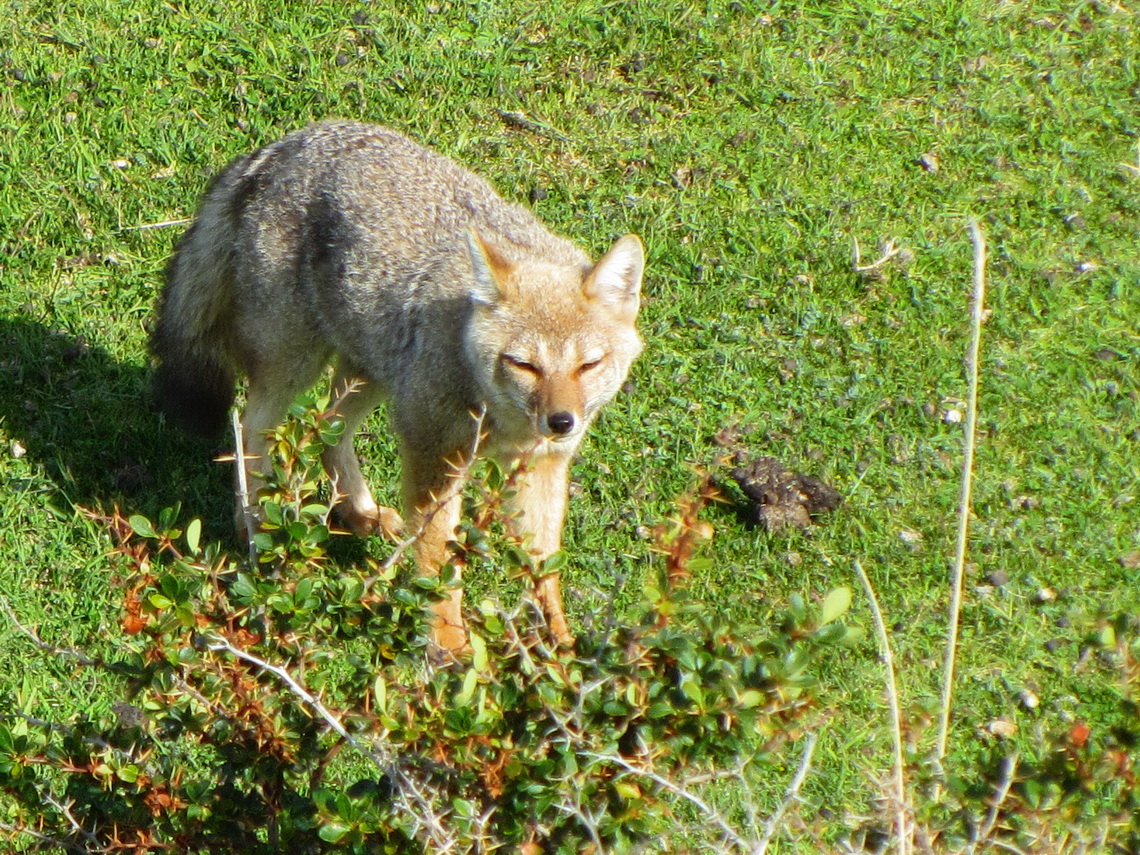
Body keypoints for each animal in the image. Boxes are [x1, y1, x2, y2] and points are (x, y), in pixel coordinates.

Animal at [150, 120, 647, 652]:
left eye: (588, 365)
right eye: (524, 365)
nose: (561, 422)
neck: (504, 421)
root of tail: (288, 144)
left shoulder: (540, 466)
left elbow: (542, 566)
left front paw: (558, 644)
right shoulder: (434, 455)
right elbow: (438, 560)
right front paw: (448, 644)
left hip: (371, 372)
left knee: (330, 431)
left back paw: (358, 512)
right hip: (296, 364)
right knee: (249, 431)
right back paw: (257, 527)